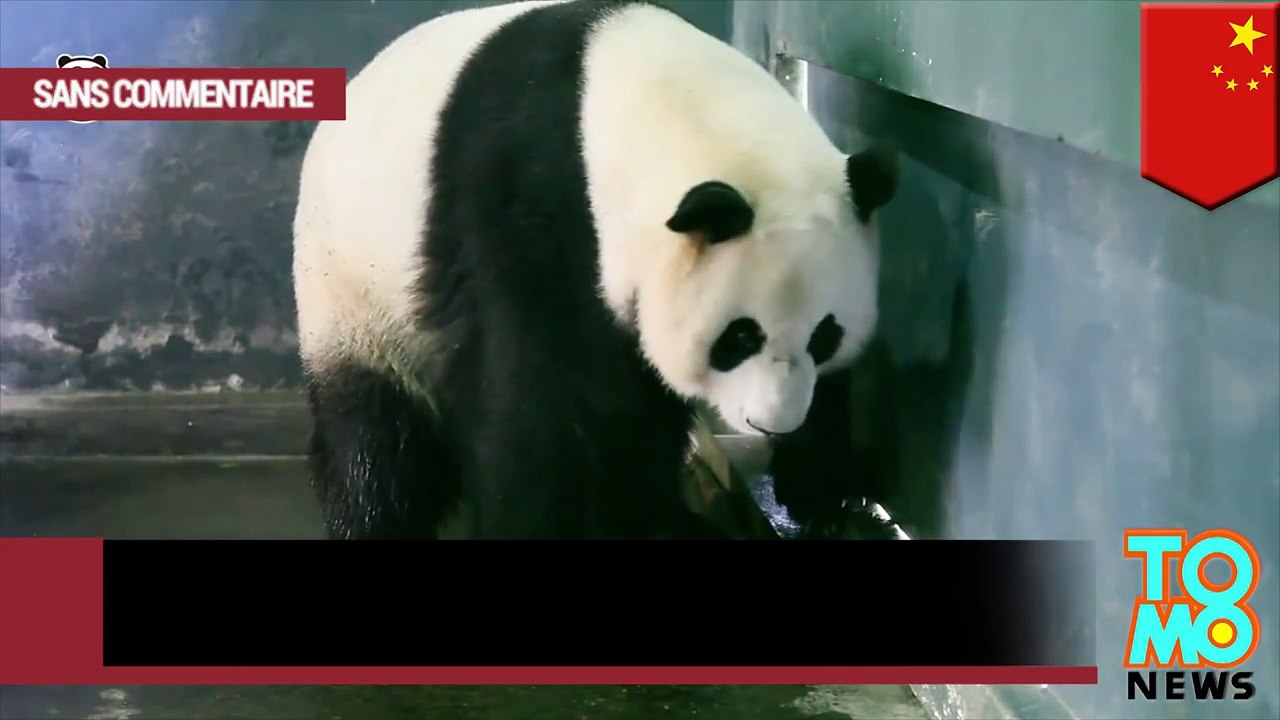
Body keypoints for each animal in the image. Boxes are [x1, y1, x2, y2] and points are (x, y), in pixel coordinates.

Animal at [291, 0, 898, 540]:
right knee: (376, 440)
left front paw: (825, 495)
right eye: (740, 336)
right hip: (356, 298)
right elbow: (537, 397)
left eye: (825, 336)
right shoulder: (527, 211)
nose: (773, 422)